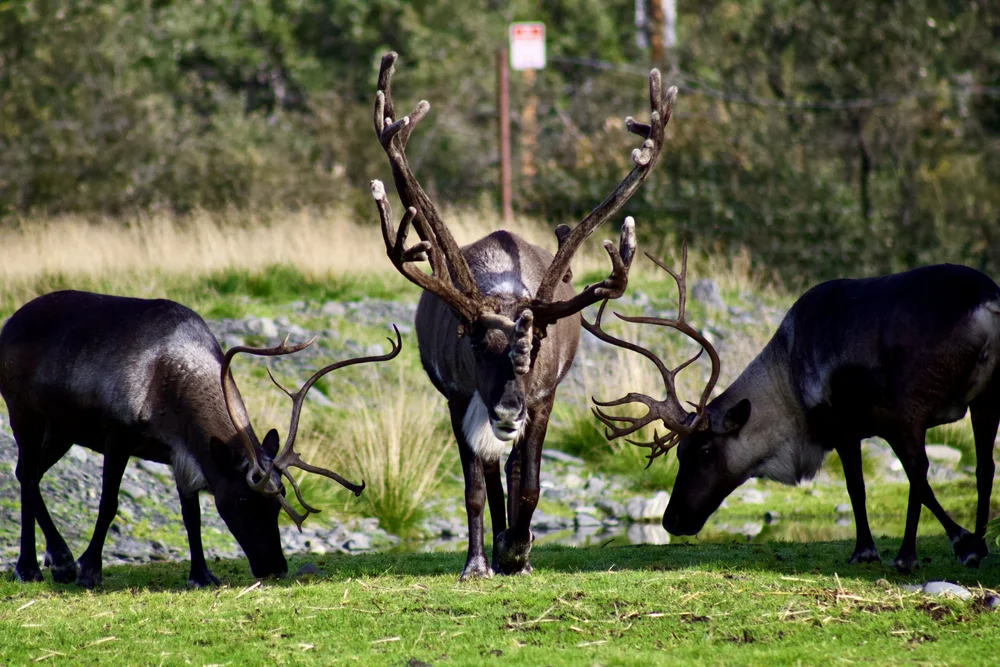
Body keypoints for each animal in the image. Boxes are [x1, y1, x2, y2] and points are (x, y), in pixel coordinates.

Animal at [0, 290, 400, 587]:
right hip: (23, 412)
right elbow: (108, 504)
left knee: (26, 473)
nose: (275, 568)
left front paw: (202, 574)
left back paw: (47, 562)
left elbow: (190, 514)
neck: (166, 375)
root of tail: (10, 322)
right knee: (28, 474)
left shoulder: (184, 454)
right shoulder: (117, 435)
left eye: (280, 500)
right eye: (242, 500)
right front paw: (90, 570)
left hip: (62, 430)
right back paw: (43, 565)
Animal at [368, 51, 675, 579]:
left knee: (512, 471)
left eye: (536, 346)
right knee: (492, 475)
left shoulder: (544, 396)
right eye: (473, 344)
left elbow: (529, 483)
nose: (509, 409)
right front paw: (480, 561)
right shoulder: (457, 396)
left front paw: (520, 549)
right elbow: (474, 489)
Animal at [586, 249, 1000, 572]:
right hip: (984, 397)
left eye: (704, 450)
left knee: (922, 470)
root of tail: (988, 304)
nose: (671, 520)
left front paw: (865, 551)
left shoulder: (846, 425)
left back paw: (913, 554)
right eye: (680, 452)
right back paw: (978, 545)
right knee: (983, 467)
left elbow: (861, 487)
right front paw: (963, 541)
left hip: (911, 405)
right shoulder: (877, 427)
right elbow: (918, 484)